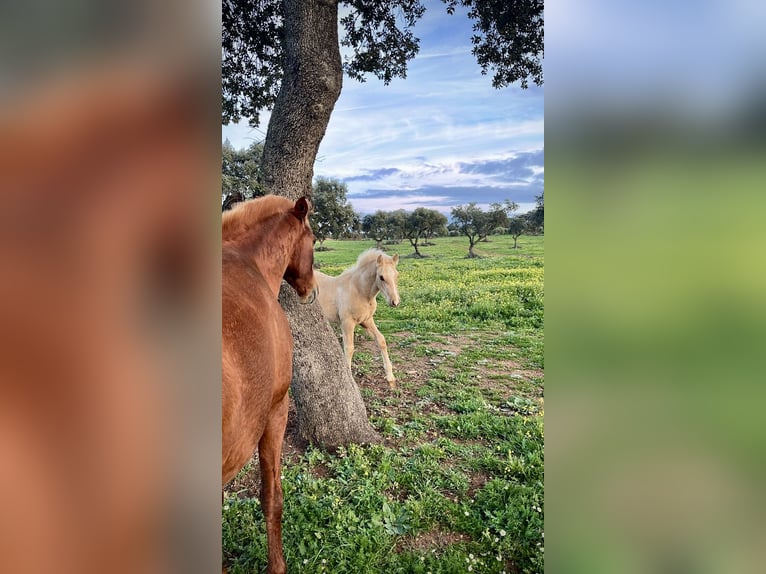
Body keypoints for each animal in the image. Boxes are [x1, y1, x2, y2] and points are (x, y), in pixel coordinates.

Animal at [316, 250, 402, 390]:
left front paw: (391, 378)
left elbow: (381, 340)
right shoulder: (347, 323)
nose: (395, 302)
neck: (359, 291)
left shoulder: (366, 320)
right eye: (381, 277)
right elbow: (349, 348)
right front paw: (350, 379)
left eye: (397, 275)